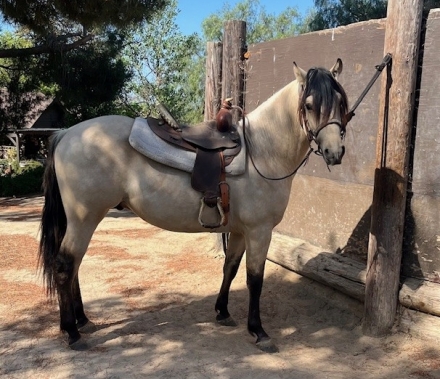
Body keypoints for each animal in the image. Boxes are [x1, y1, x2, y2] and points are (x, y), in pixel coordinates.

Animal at [38, 59, 348, 354]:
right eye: (309, 105)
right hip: (84, 219)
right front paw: (259, 332)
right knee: (65, 266)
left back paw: (82, 320)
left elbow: (230, 268)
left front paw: (222, 312)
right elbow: (254, 279)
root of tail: (66, 134)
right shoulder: (260, 231)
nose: (334, 152)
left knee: (74, 266)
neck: (262, 151)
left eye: (340, 102)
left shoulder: (240, 231)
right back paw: (72, 332)